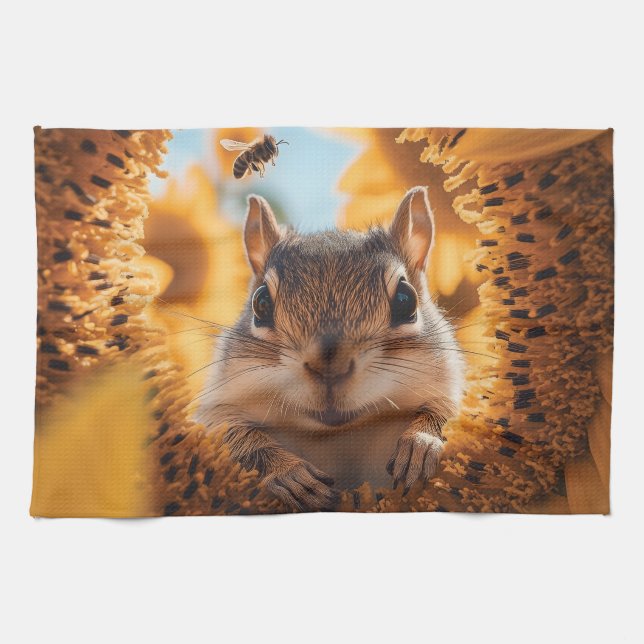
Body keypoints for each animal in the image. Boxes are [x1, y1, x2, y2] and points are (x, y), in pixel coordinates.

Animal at [195, 187, 464, 511]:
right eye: (260, 303)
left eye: (405, 299)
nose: (329, 368)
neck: (336, 433)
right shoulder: (216, 410)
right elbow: (236, 437)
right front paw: (289, 474)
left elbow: (444, 412)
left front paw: (420, 443)